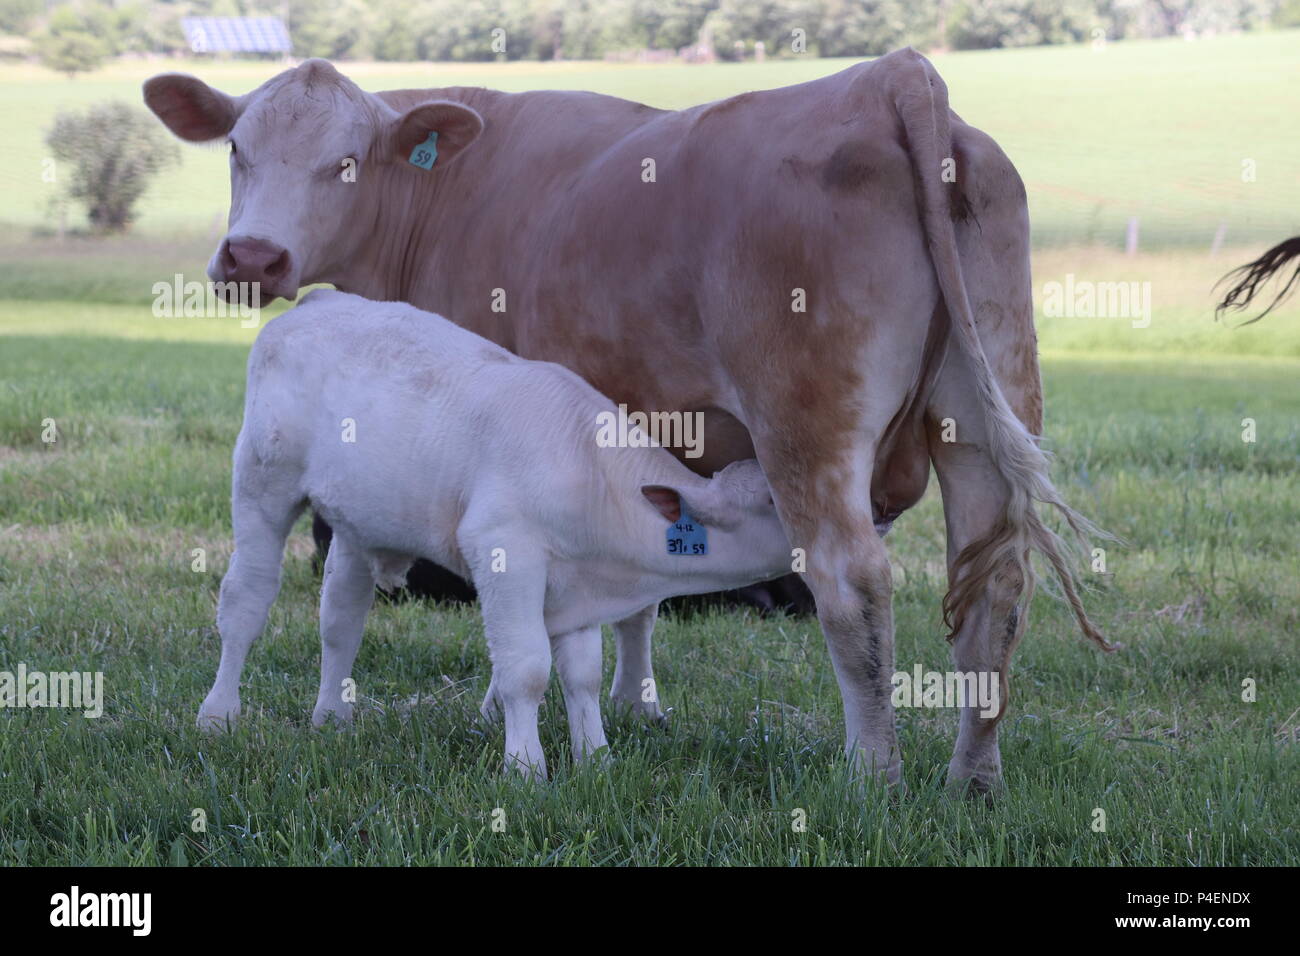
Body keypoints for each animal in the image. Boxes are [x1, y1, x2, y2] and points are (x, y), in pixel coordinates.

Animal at [202, 286, 790, 780]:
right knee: (246, 599)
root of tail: (321, 298)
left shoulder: (577, 584)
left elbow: (583, 675)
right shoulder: (505, 549)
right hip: (262, 481)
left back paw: (332, 718)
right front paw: (526, 770)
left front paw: (595, 761)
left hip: (356, 522)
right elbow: (526, 669)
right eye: (770, 500)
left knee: (341, 618)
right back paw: (218, 716)